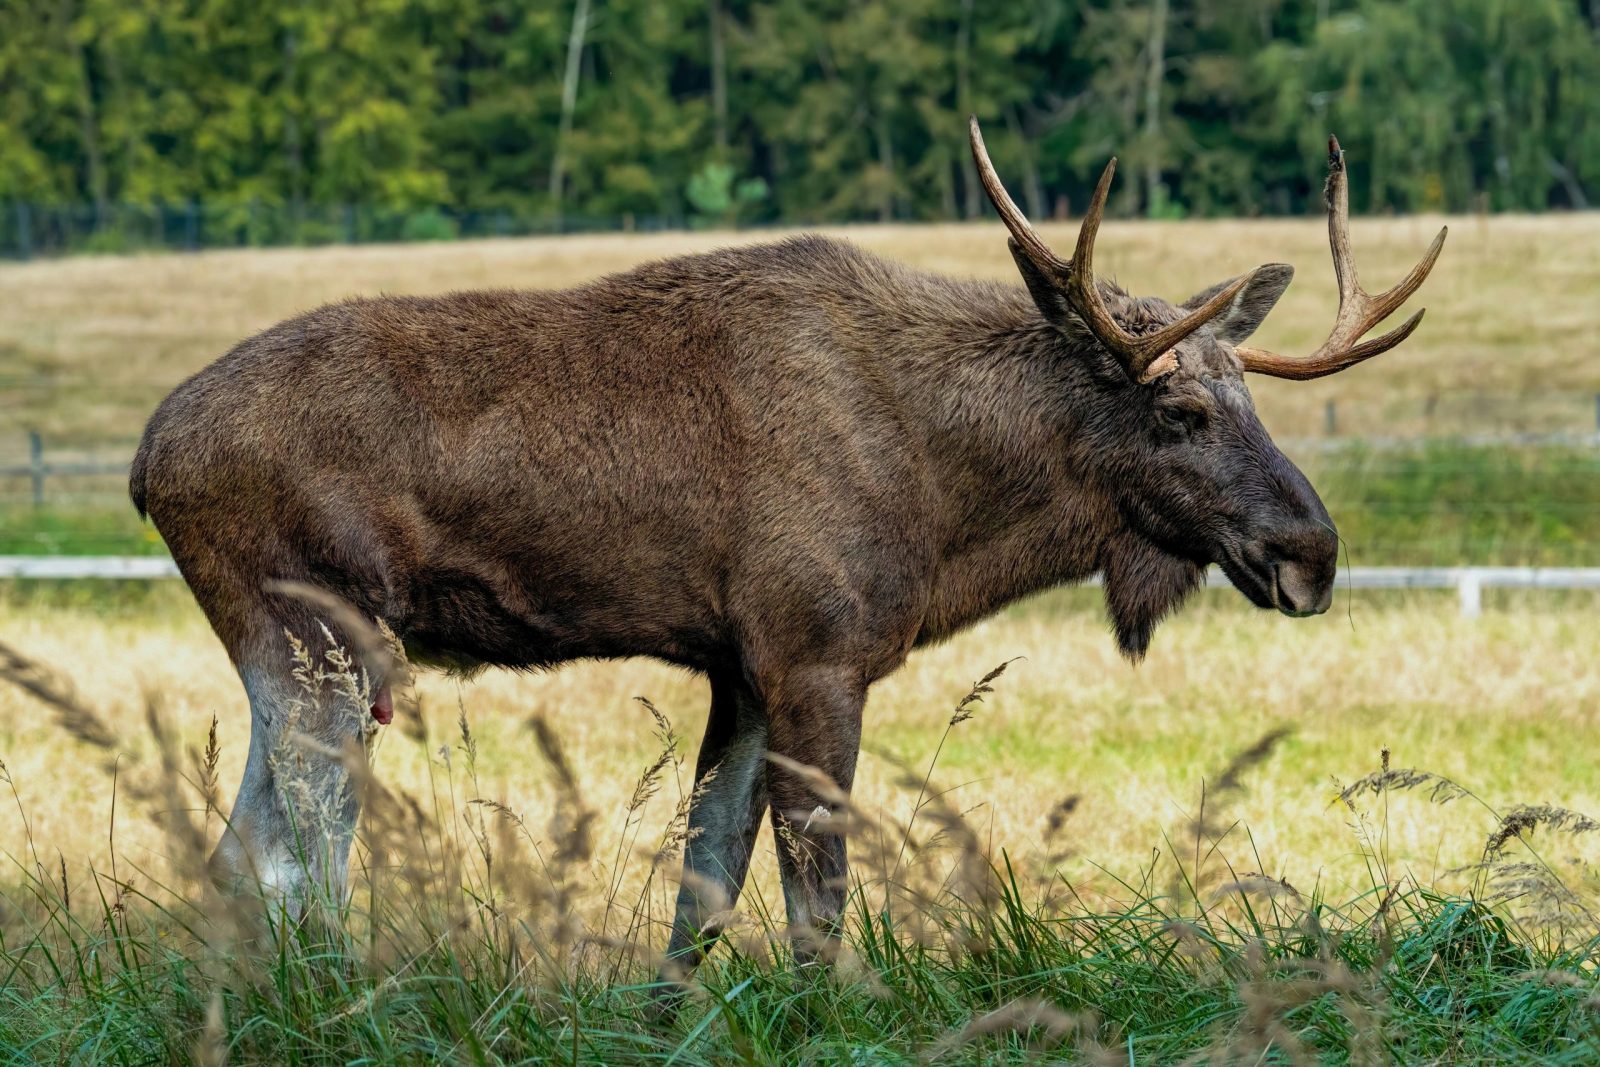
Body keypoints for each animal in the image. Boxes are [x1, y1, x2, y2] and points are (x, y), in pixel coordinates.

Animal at [129, 120, 1444, 973]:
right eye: (1178, 412)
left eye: (1252, 399)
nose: (1312, 549)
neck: (949, 509)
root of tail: (148, 463)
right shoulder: (817, 648)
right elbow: (817, 899)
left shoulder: (738, 662)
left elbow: (701, 891)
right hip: (318, 628)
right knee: (301, 859)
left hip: (302, 650)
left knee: (237, 854)